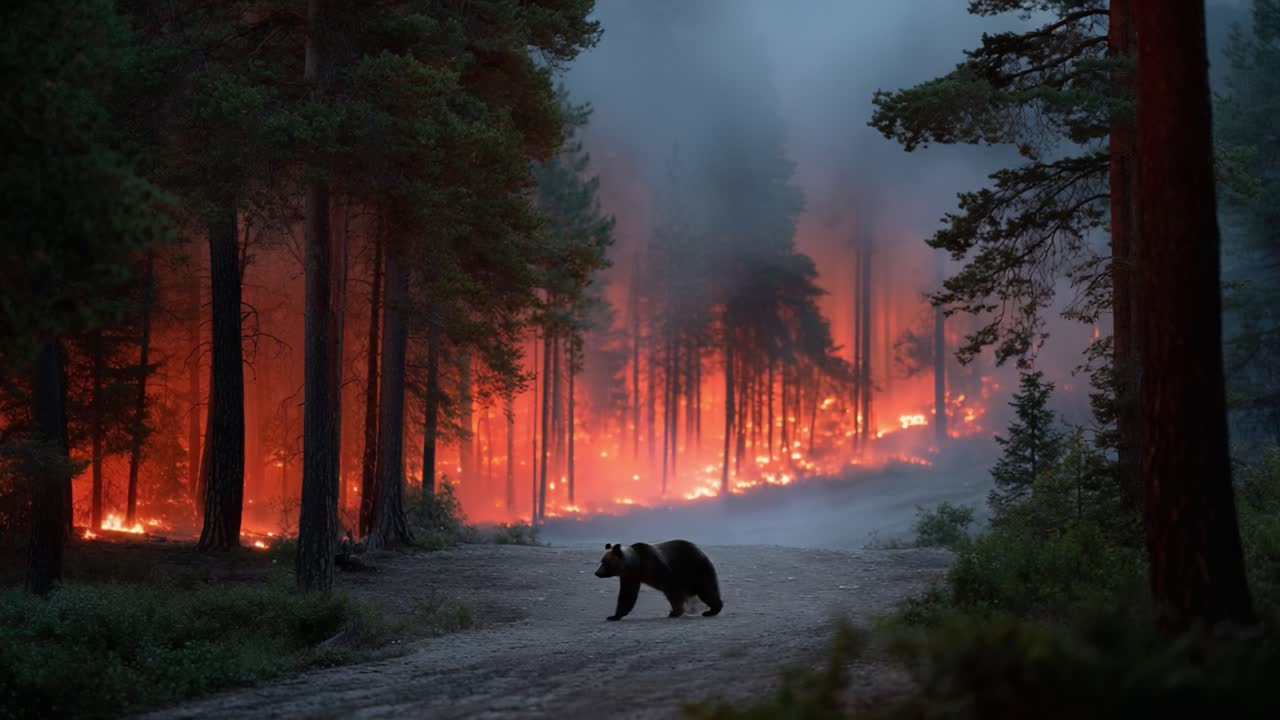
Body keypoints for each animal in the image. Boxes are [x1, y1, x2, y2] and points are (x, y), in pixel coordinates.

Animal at [593, 539, 724, 621]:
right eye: (602, 561)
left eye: (605, 562)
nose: (597, 573)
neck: (637, 564)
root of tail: (701, 551)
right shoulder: (630, 576)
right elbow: (627, 595)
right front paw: (613, 616)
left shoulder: (658, 567)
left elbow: (673, 590)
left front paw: (675, 612)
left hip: (696, 569)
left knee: (707, 590)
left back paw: (712, 610)